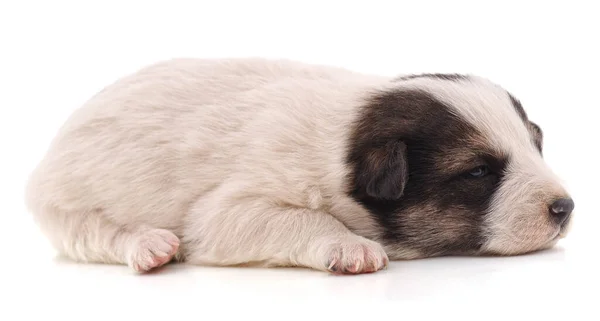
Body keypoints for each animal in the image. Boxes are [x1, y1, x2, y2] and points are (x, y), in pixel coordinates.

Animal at [25, 57, 576, 272]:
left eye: (536, 144)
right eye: (479, 172)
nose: (565, 207)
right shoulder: (231, 208)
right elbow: (299, 219)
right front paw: (351, 247)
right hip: (69, 206)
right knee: (98, 235)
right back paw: (150, 245)